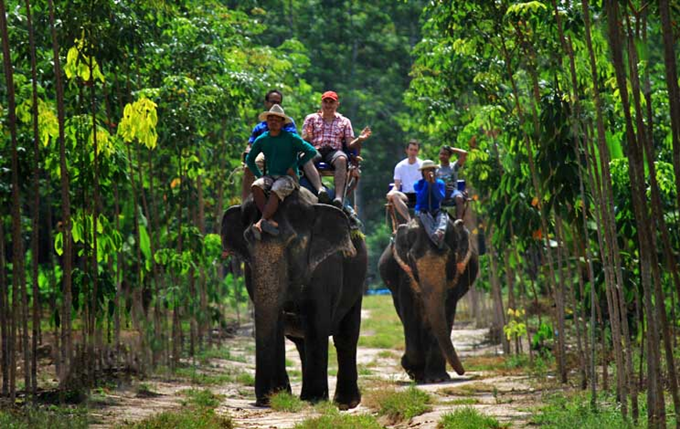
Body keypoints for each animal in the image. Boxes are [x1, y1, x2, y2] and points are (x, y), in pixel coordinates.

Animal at [222, 190, 366, 408]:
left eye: (292, 242)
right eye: (246, 241)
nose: (262, 400)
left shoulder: (325, 269)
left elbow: (316, 320)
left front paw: (314, 398)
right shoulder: (250, 271)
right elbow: (275, 322)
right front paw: (279, 395)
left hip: (357, 283)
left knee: (345, 336)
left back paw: (345, 402)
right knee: (301, 342)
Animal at [378, 217, 478, 382]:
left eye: (449, 256)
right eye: (412, 257)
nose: (462, 372)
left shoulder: (454, 278)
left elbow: (446, 309)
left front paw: (437, 379)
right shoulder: (405, 274)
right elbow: (409, 311)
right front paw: (415, 371)